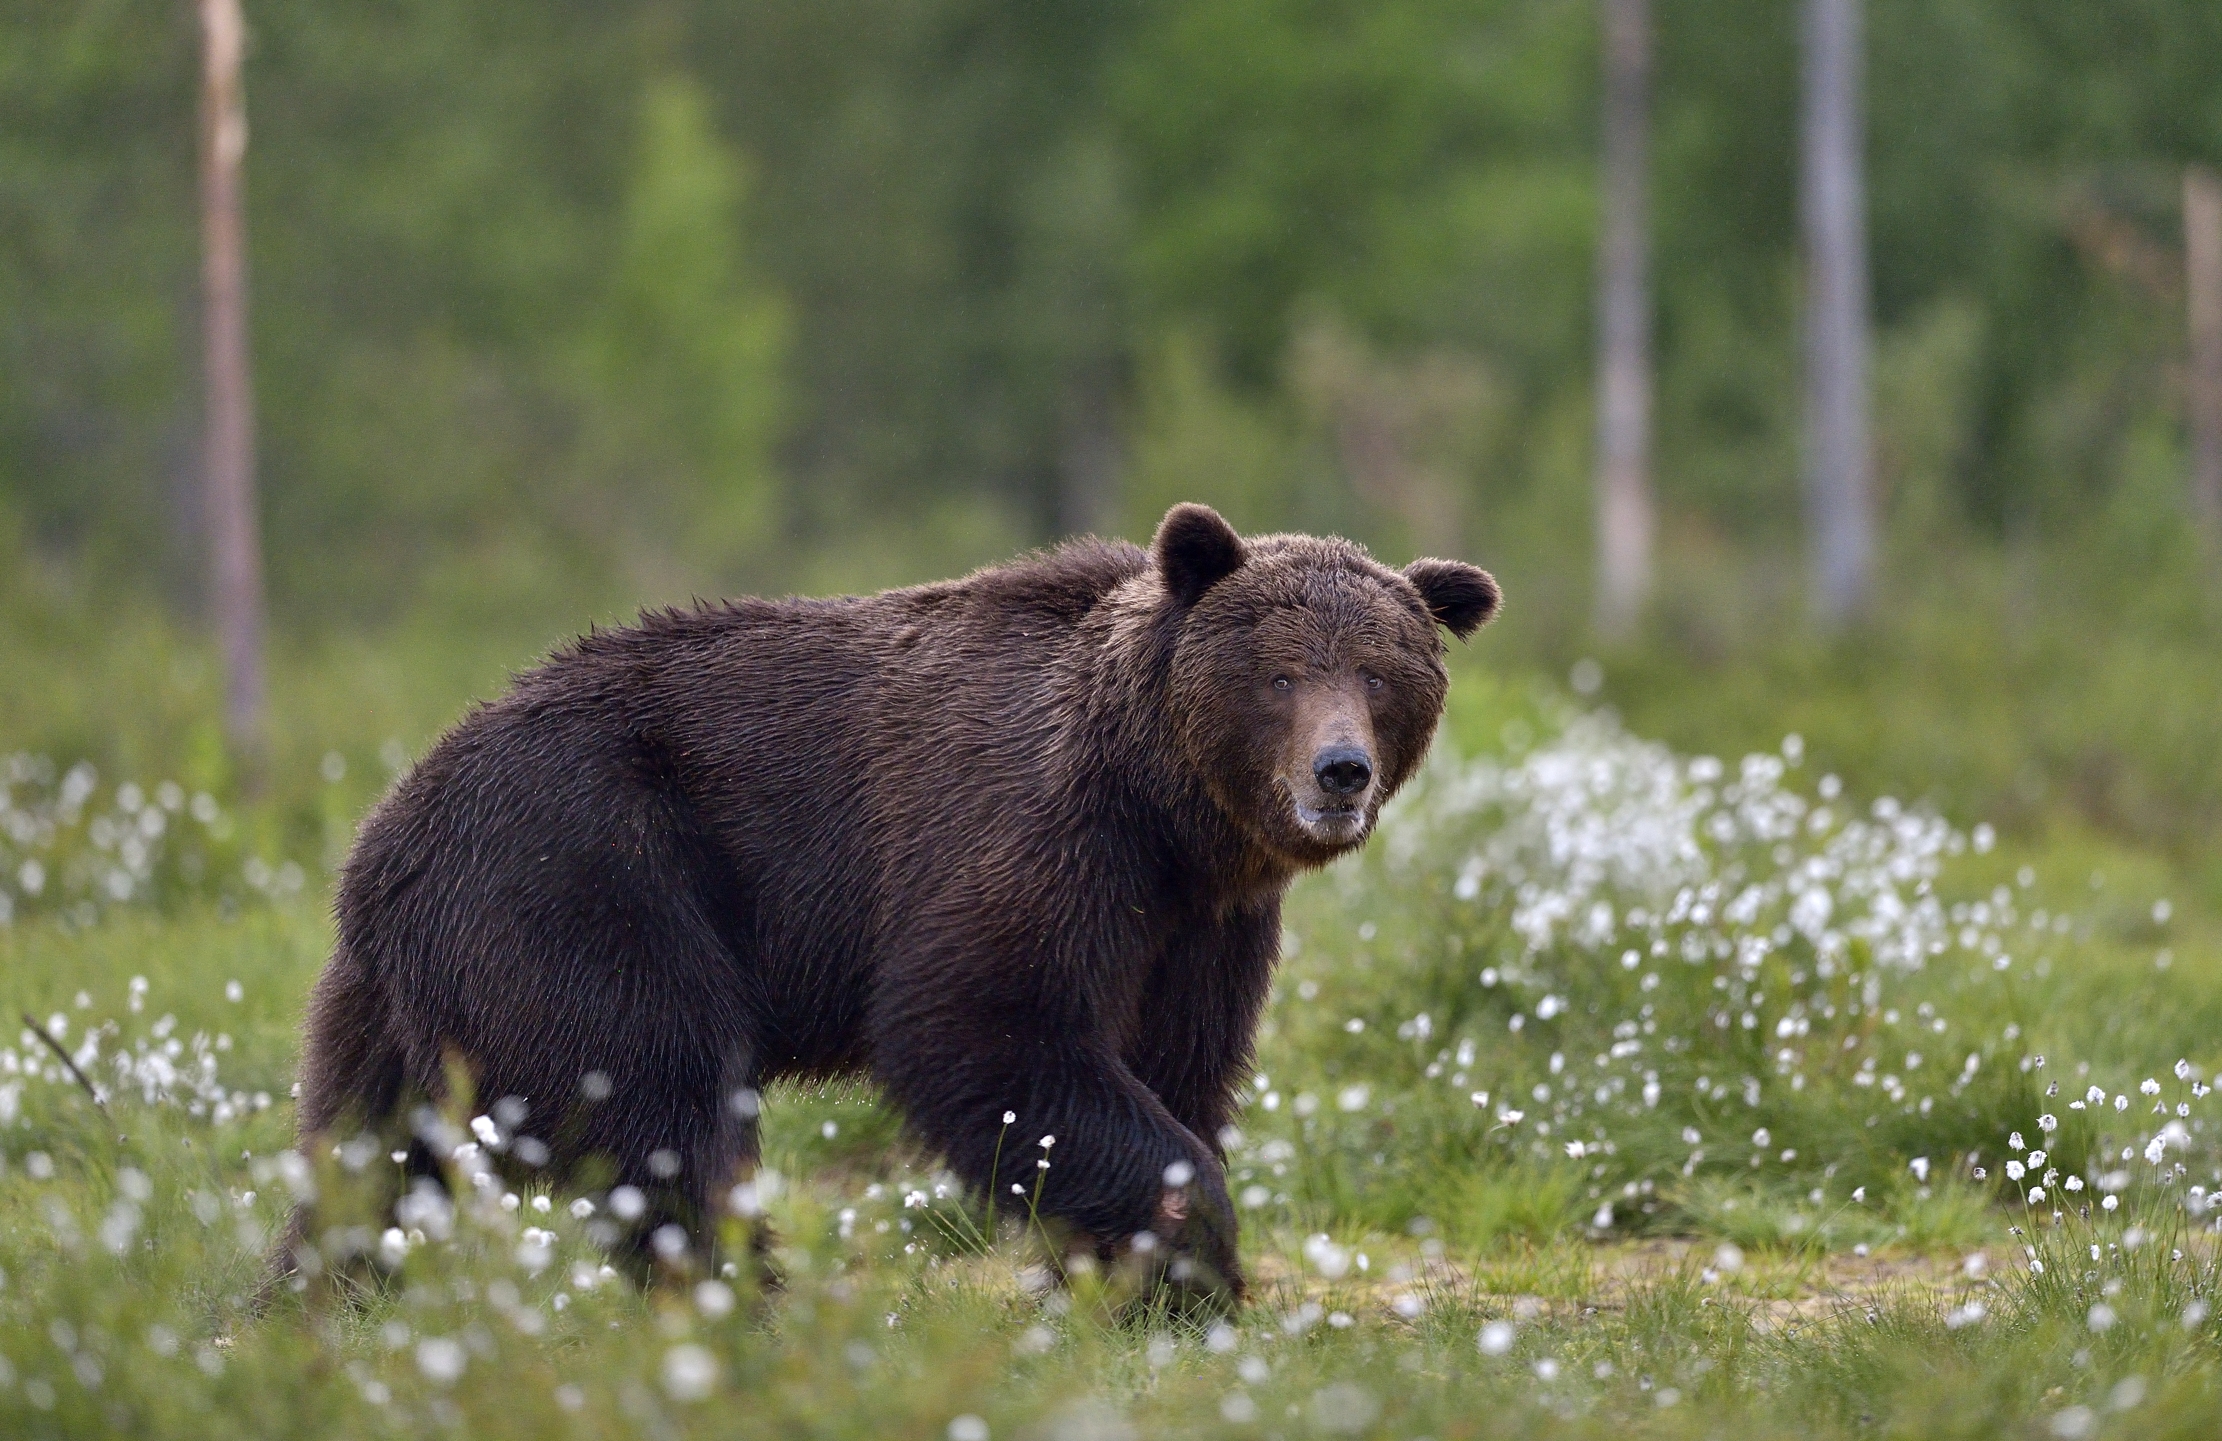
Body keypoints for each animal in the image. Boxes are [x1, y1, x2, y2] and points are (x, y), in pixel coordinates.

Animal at [287, 503, 1498, 1305]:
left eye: (1382, 672)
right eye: (1279, 673)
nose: (1338, 771)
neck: (1162, 812)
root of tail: (385, 831)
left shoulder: (1200, 924)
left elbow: (1179, 1061)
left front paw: (1123, 1280)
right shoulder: (1022, 834)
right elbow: (987, 1026)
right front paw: (1188, 1264)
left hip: (413, 984)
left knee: (367, 1149)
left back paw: (315, 1298)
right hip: (588, 879)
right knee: (655, 1109)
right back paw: (743, 1301)